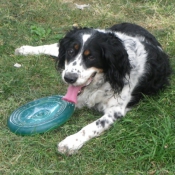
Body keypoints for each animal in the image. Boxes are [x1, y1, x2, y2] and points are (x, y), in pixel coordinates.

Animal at [15, 22, 171, 154]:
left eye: (91, 57)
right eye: (71, 51)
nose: (69, 78)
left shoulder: (115, 110)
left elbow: (92, 126)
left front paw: (71, 142)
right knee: (54, 46)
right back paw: (24, 49)